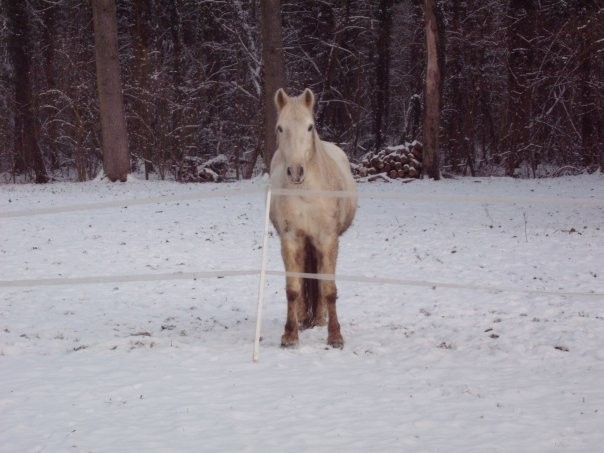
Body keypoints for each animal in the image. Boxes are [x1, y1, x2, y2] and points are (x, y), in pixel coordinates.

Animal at [270, 88, 358, 348]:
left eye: (310, 127)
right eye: (280, 128)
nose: (296, 172)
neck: (306, 193)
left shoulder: (327, 240)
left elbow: (328, 288)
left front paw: (335, 336)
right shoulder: (291, 239)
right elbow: (293, 288)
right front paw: (290, 335)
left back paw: (319, 318)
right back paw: (303, 318)